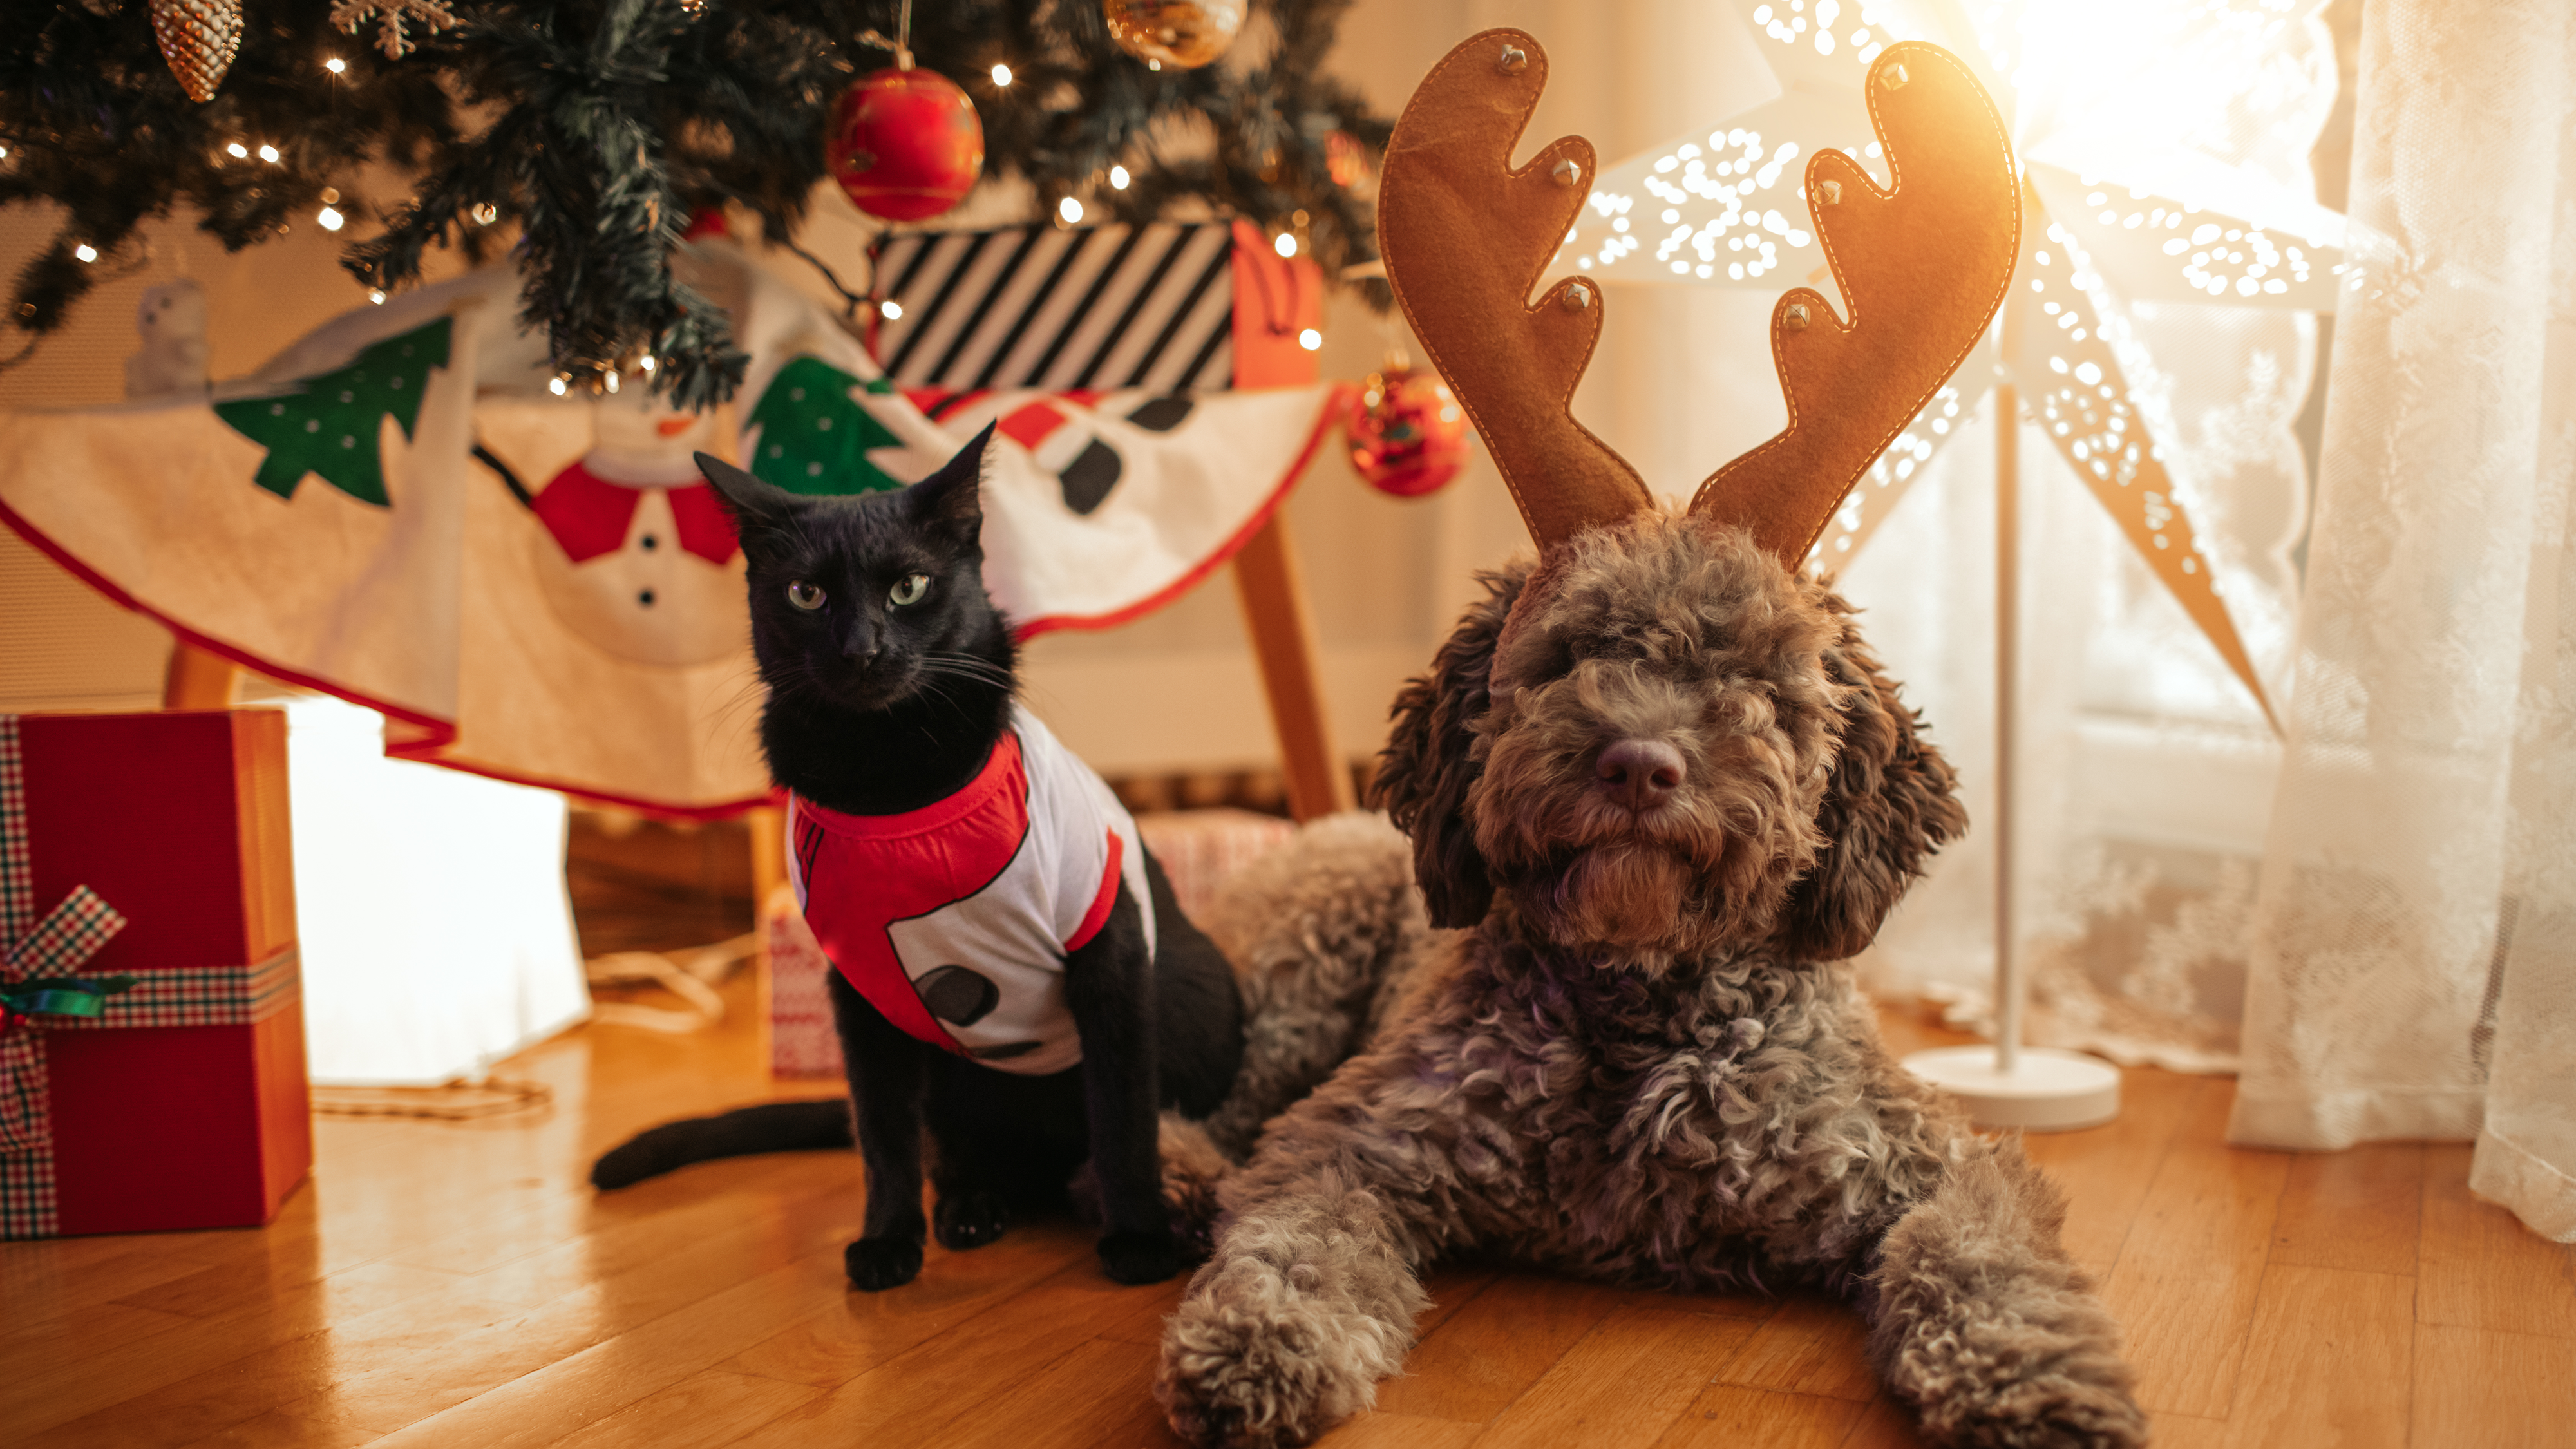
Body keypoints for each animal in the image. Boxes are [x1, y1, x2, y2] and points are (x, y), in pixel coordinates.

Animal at [613, 428, 1236, 1283]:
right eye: (806, 595)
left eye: (909, 588)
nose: (862, 650)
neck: (892, 785)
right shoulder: (861, 987)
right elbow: (883, 1135)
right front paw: (888, 1240)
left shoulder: (1105, 954)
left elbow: (1123, 1119)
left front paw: (1139, 1238)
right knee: (953, 1150)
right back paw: (971, 1209)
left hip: (1200, 1004)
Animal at [1159, 513, 2143, 1433]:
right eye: (1568, 656)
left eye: (1754, 679)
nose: (1638, 765)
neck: (1640, 1001)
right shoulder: (1353, 1141)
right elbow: (1297, 1247)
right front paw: (1260, 1344)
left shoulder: (1925, 1164)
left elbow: (1985, 1263)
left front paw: (2034, 1381)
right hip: (1303, 965)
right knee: (1218, 1103)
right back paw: (1175, 1174)